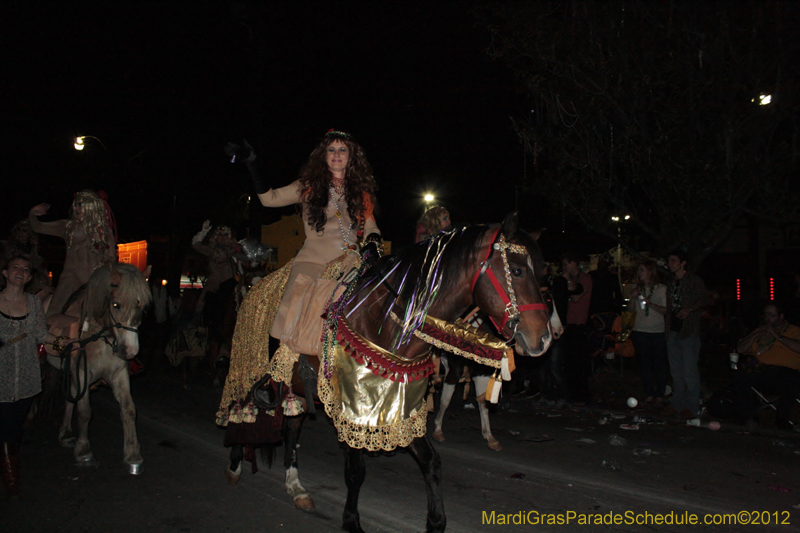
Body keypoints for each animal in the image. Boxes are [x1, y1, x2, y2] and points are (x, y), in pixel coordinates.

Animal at [57, 262, 152, 474]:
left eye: (141, 306)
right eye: (116, 305)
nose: (131, 351)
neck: (101, 339)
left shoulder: (120, 375)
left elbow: (129, 410)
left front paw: (132, 454)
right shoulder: (82, 373)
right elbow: (84, 412)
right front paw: (83, 451)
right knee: (69, 398)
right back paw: (65, 433)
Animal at [222, 213, 552, 532]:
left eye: (542, 274)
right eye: (518, 271)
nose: (544, 339)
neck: (386, 321)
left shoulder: (402, 409)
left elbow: (432, 462)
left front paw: (436, 521)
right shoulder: (350, 409)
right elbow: (355, 471)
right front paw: (352, 520)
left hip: (299, 391)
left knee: (291, 431)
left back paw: (296, 487)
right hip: (247, 368)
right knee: (237, 410)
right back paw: (235, 465)